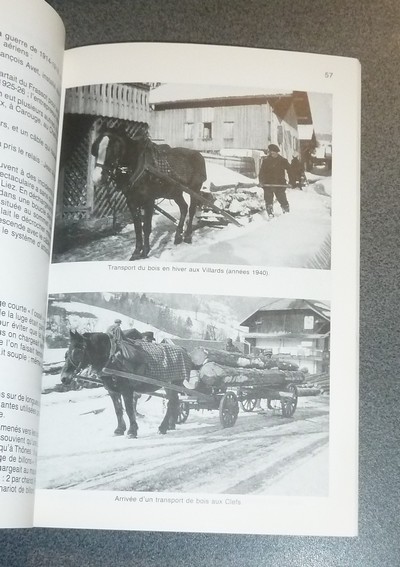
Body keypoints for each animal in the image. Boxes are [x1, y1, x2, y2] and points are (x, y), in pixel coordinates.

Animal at [61, 330, 194, 438]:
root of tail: (184, 350)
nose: (63, 378)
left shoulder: (127, 390)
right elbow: (118, 410)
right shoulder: (112, 391)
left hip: (174, 383)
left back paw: (163, 427)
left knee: (172, 403)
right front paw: (119, 429)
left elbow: (129, 410)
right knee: (175, 402)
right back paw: (171, 425)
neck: (112, 358)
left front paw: (132, 431)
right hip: (169, 385)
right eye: (66, 353)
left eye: (78, 352)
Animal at [91, 126, 206, 260]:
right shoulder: (131, 201)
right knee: (183, 208)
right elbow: (137, 228)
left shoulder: (149, 201)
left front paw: (145, 252)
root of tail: (198, 154)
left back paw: (187, 236)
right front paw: (136, 252)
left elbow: (146, 227)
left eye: (113, 149)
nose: (97, 178)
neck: (138, 167)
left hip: (195, 189)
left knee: (192, 210)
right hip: (175, 191)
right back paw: (178, 236)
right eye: (96, 148)